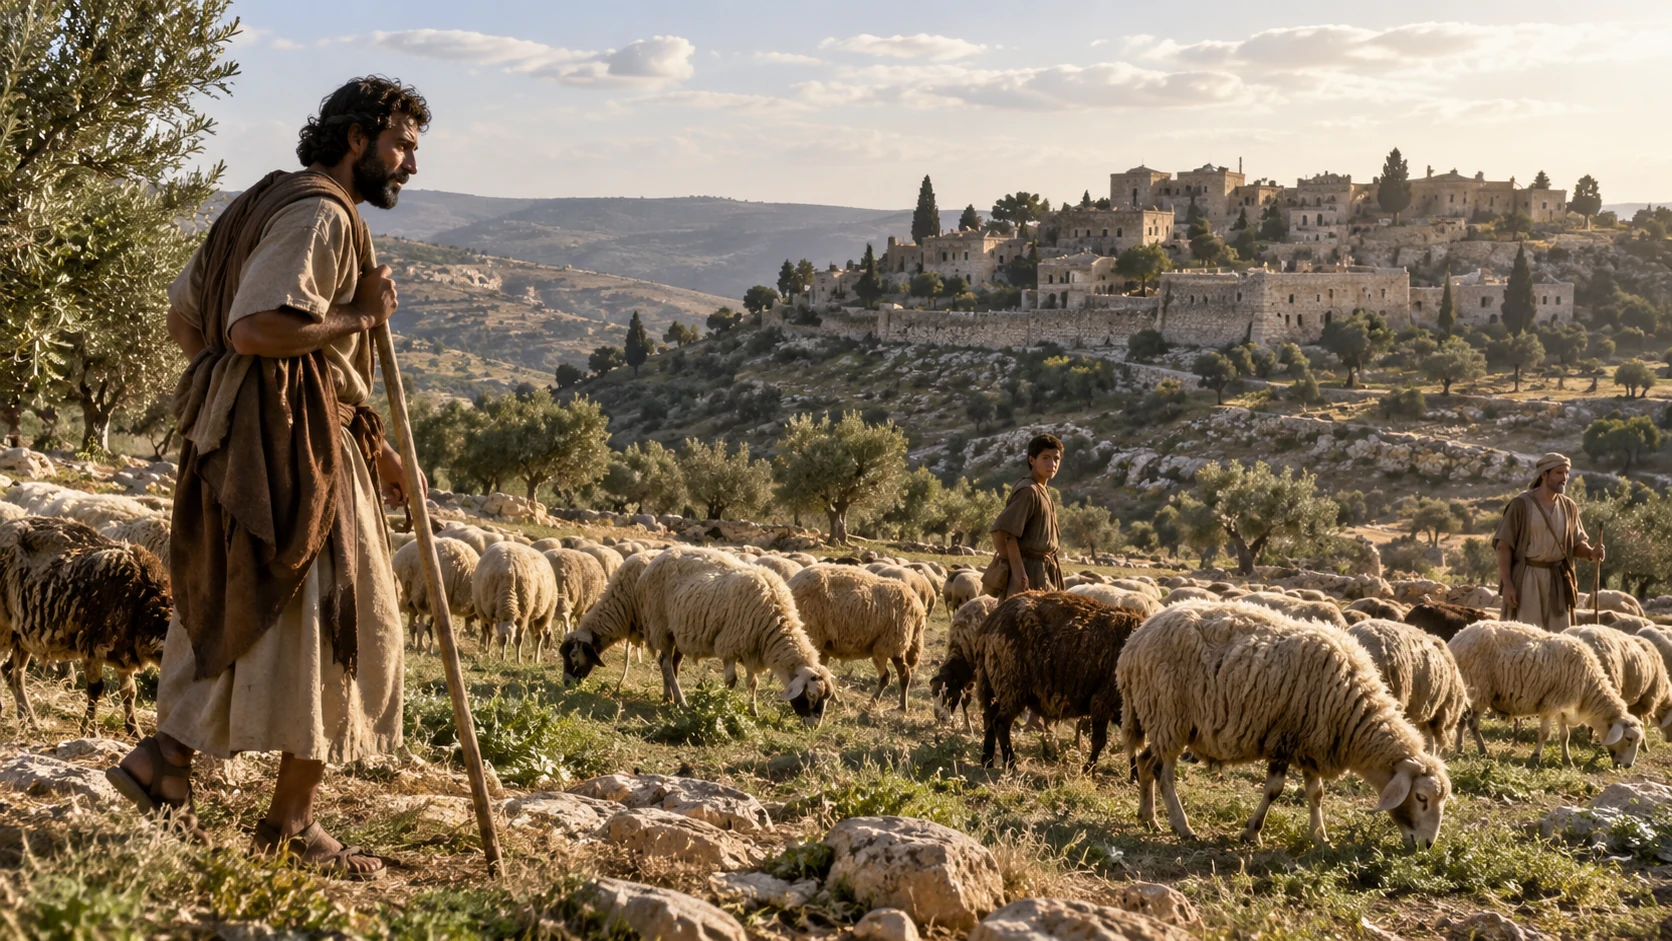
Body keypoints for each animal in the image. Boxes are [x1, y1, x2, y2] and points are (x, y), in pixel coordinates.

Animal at [0, 516, 171, 735]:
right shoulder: (93, 646)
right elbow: (96, 689)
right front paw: (90, 730)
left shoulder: (124, 653)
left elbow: (129, 692)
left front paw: (135, 730)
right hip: (4, 626)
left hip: (22, 635)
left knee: (13, 672)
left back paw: (28, 719)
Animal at [787, 565, 925, 710]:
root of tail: (918, 606)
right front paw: (833, 700)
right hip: (880, 647)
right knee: (886, 676)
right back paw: (872, 701)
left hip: (893, 642)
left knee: (903, 675)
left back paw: (902, 706)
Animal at [960, 592, 1144, 773]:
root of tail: (992, 621)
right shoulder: (1103, 701)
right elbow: (1100, 741)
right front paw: (1089, 770)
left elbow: (1133, 744)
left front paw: (1134, 775)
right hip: (1011, 687)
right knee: (1000, 723)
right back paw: (1011, 765)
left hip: (993, 684)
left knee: (990, 718)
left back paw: (987, 760)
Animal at [1119, 600, 1451, 848]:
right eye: (1421, 798)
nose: (1427, 845)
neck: (1354, 714)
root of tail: (1136, 640)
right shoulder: (1284, 738)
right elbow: (1274, 790)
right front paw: (1252, 832)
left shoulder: (1312, 742)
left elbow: (1316, 794)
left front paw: (1319, 837)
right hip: (1168, 714)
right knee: (1163, 773)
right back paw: (1182, 826)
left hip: (1162, 719)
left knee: (1145, 760)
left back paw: (1148, 817)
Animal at [1449, 620, 1643, 766]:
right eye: (1628, 738)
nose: (1628, 766)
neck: (1588, 689)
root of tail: (1457, 639)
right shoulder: (1550, 703)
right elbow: (1544, 734)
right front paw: (1536, 757)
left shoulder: (1563, 707)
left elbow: (1565, 736)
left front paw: (1567, 760)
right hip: (1481, 688)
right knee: (1472, 723)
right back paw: (1483, 751)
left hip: (1469, 691)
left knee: (1461, 720)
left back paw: (1460, 748)